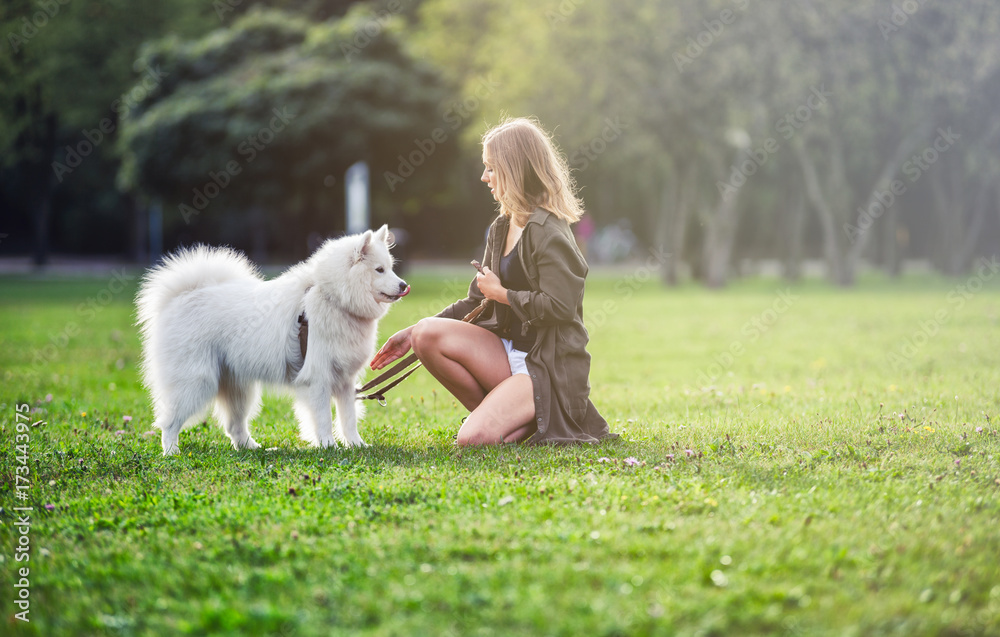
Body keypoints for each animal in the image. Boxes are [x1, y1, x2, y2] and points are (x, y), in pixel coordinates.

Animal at [135, 226, 408, 454]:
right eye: (379, 270)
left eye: (391, 267)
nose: (404, 285)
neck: (333, 298)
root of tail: (181, 296)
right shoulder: (318, 379)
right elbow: (323, 418)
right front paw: (328, 446)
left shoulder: (344, 381)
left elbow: (348, 418)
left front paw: (356, 445)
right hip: (196, 382)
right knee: (169, 422)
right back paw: (172, 452)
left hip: (238, 389)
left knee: (235, 426)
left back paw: (254, 448)